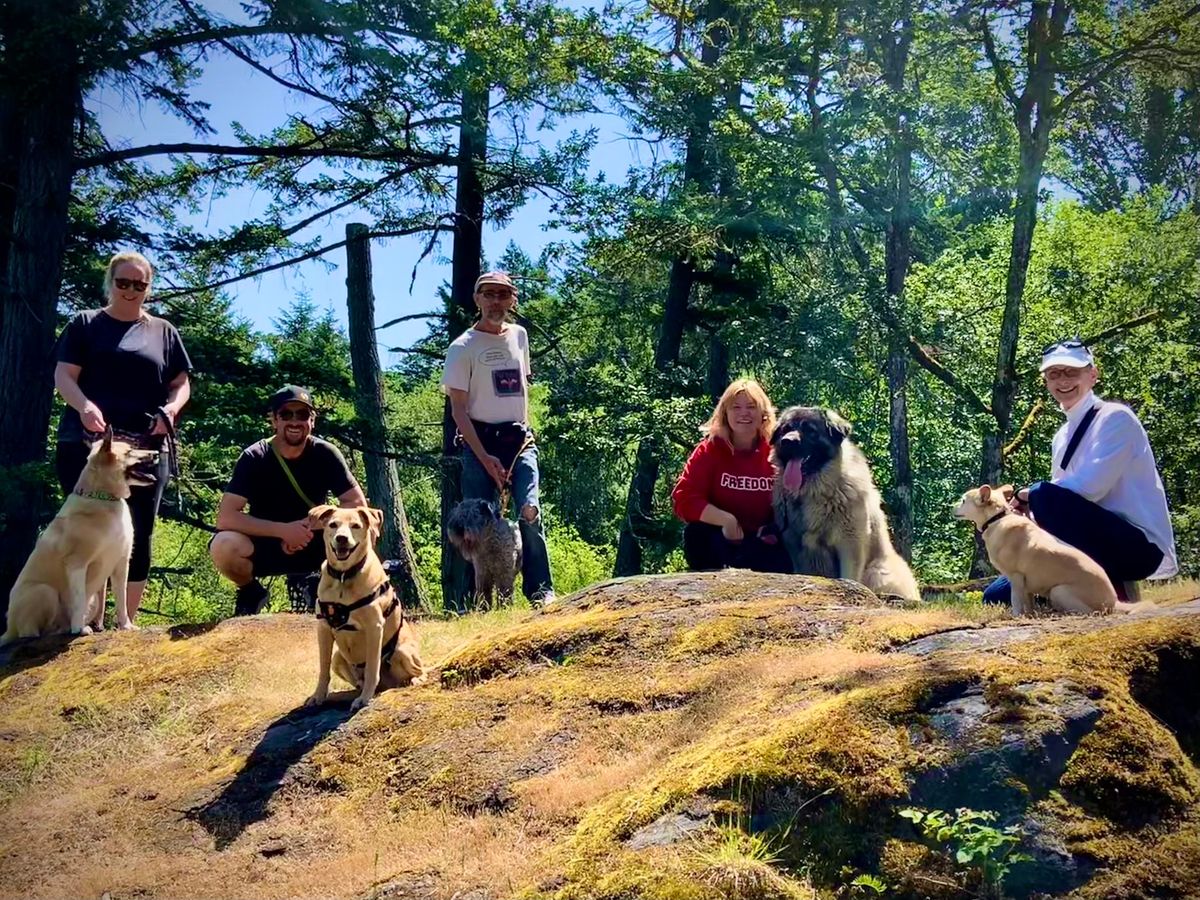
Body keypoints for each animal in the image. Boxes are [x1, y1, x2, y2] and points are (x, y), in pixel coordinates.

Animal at [2, 427, 159, 643]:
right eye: (129, 452)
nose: (157, 454)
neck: (105, 498)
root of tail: (9, 629)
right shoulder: (77, 563)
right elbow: (78, 599)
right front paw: (79, 629)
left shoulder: (121, 563)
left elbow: (122, 599)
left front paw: (126, 626)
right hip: (44, 591)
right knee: (31, 632)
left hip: (93, 600)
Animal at [304, 504, 427, 710]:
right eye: (333, 524)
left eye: (355, 525)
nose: (341, 538)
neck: (344, 576)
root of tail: (388, 685)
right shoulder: (323, 628)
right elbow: (323, 669)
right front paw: (318, 696)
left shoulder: (374, 627)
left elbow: (372, 667)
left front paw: (364, 699)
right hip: (338, 658)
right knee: (355, 680)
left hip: (403, 652)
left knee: (419, 670)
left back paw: (415, 680)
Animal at [768, 408, 916, 602]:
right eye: (786, 429)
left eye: (811, 431)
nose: (787, 441)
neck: (813, 491)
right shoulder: (798, 549)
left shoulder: (850, 544)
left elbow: (849, 576)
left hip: (878, 572)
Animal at [950, 487, 1118, 619]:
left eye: (963, 501)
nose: (951, 507)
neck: (996, 519)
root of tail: (1113, 602)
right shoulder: (1026, 586)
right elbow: (1028, 602)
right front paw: (1029, 614)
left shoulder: (1016, 578)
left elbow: (1016, 601)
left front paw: (1016, 616)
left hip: (1058, 591)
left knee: (1088, 611)